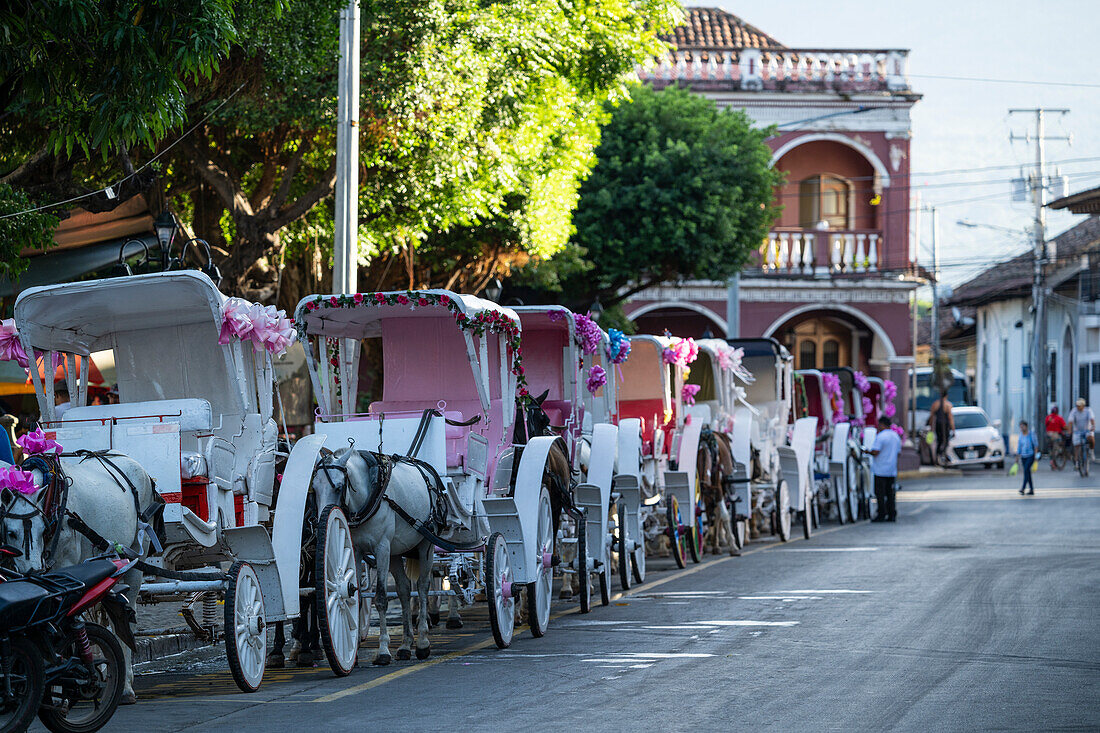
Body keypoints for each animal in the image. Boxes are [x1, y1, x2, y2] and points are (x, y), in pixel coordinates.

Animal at [0, 451, 159, 704]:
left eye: (41, 529)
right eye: (11, 532)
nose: (33, 570)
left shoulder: (66, 567)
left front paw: (58, 689)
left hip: (137, 554)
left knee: (127, 618)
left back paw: (125, 686)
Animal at [312, 444, 435, 660]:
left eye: (338, 487)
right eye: (314, 488)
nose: (322, 526)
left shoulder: (382, 548)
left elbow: (381, 599)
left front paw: (383, 649)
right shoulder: (356, 549)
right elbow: (357, 597)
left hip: (424, 545)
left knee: (422, 586)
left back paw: (422, 642)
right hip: (396, 552)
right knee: (404, 589)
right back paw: (405, 644)